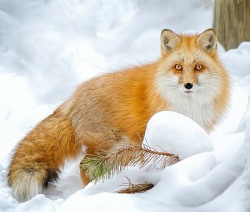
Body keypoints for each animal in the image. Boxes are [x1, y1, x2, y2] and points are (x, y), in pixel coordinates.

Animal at [7, 28, 230, 202]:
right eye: (178, 67)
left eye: (198, 67)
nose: (188, 85)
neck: (187, 105)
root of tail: (73, 97)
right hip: (107, 145)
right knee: (84, 167)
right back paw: (95, 192)